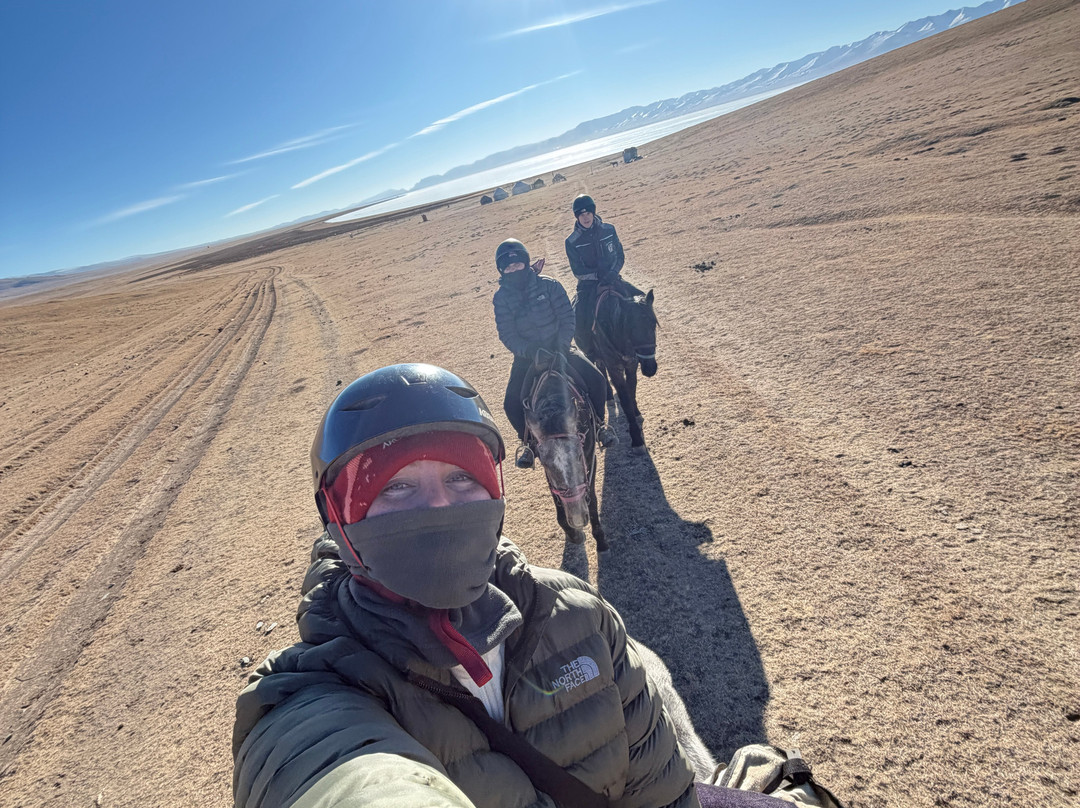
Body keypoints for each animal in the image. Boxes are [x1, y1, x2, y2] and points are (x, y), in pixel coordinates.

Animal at [522, 353, 608, 553]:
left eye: (579, 455)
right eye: (545, 463)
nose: (577, 517)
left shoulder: (590, 458)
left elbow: (592, 498)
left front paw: (600, 540)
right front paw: (575, 534)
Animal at [591, 286, 658, 451]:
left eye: (653, 324)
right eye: (631, 328)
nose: (650, 368)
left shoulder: (632, 364)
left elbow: (631, 390)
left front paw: (636, 412)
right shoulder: (614, 368)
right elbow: (625, 399)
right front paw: (637, 439)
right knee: (601, 370)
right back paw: (608, 396)